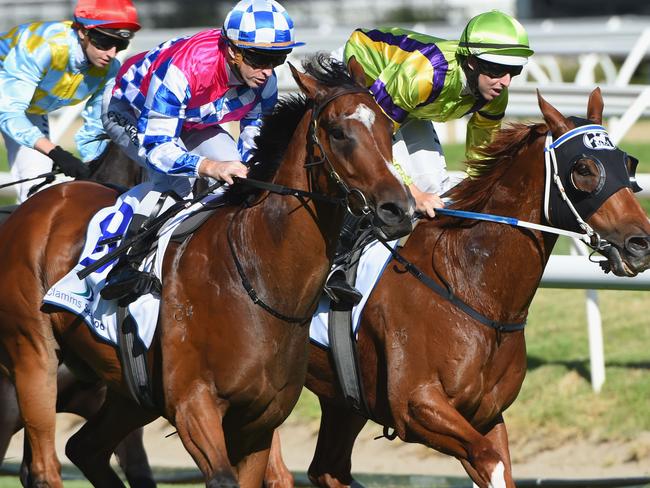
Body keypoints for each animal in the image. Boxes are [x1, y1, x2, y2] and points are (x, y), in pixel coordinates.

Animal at [0, 58, 412, 488]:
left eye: (389, 130)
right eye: (338, 132)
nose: (398, 210)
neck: (258, 275)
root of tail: (31, 209)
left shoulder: (260, 423)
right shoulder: (194, 405)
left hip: (130, 393)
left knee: (86, 448)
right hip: (33, 358)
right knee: (45, 465)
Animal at [264, 87, 650, 488]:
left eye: (628, 163)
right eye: (585, 169)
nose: (640, 243)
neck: (470, 287)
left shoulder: (486, 414)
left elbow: (498, 463)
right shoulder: (417, 406)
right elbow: (490, 460)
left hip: (343, 399)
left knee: (327, 468)